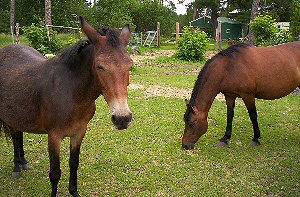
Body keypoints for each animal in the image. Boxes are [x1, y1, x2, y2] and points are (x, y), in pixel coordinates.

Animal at [0, 16, 132, 196]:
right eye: (100, 66)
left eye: (130, 65)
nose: (122, 118)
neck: (72, 93)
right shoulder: (54, 136)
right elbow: (55, 173)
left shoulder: (79, 132)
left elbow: (74, 163)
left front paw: (74, 191)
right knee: (14, 135)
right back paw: (16, 166)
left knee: (18, 134)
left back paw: (23, 162)